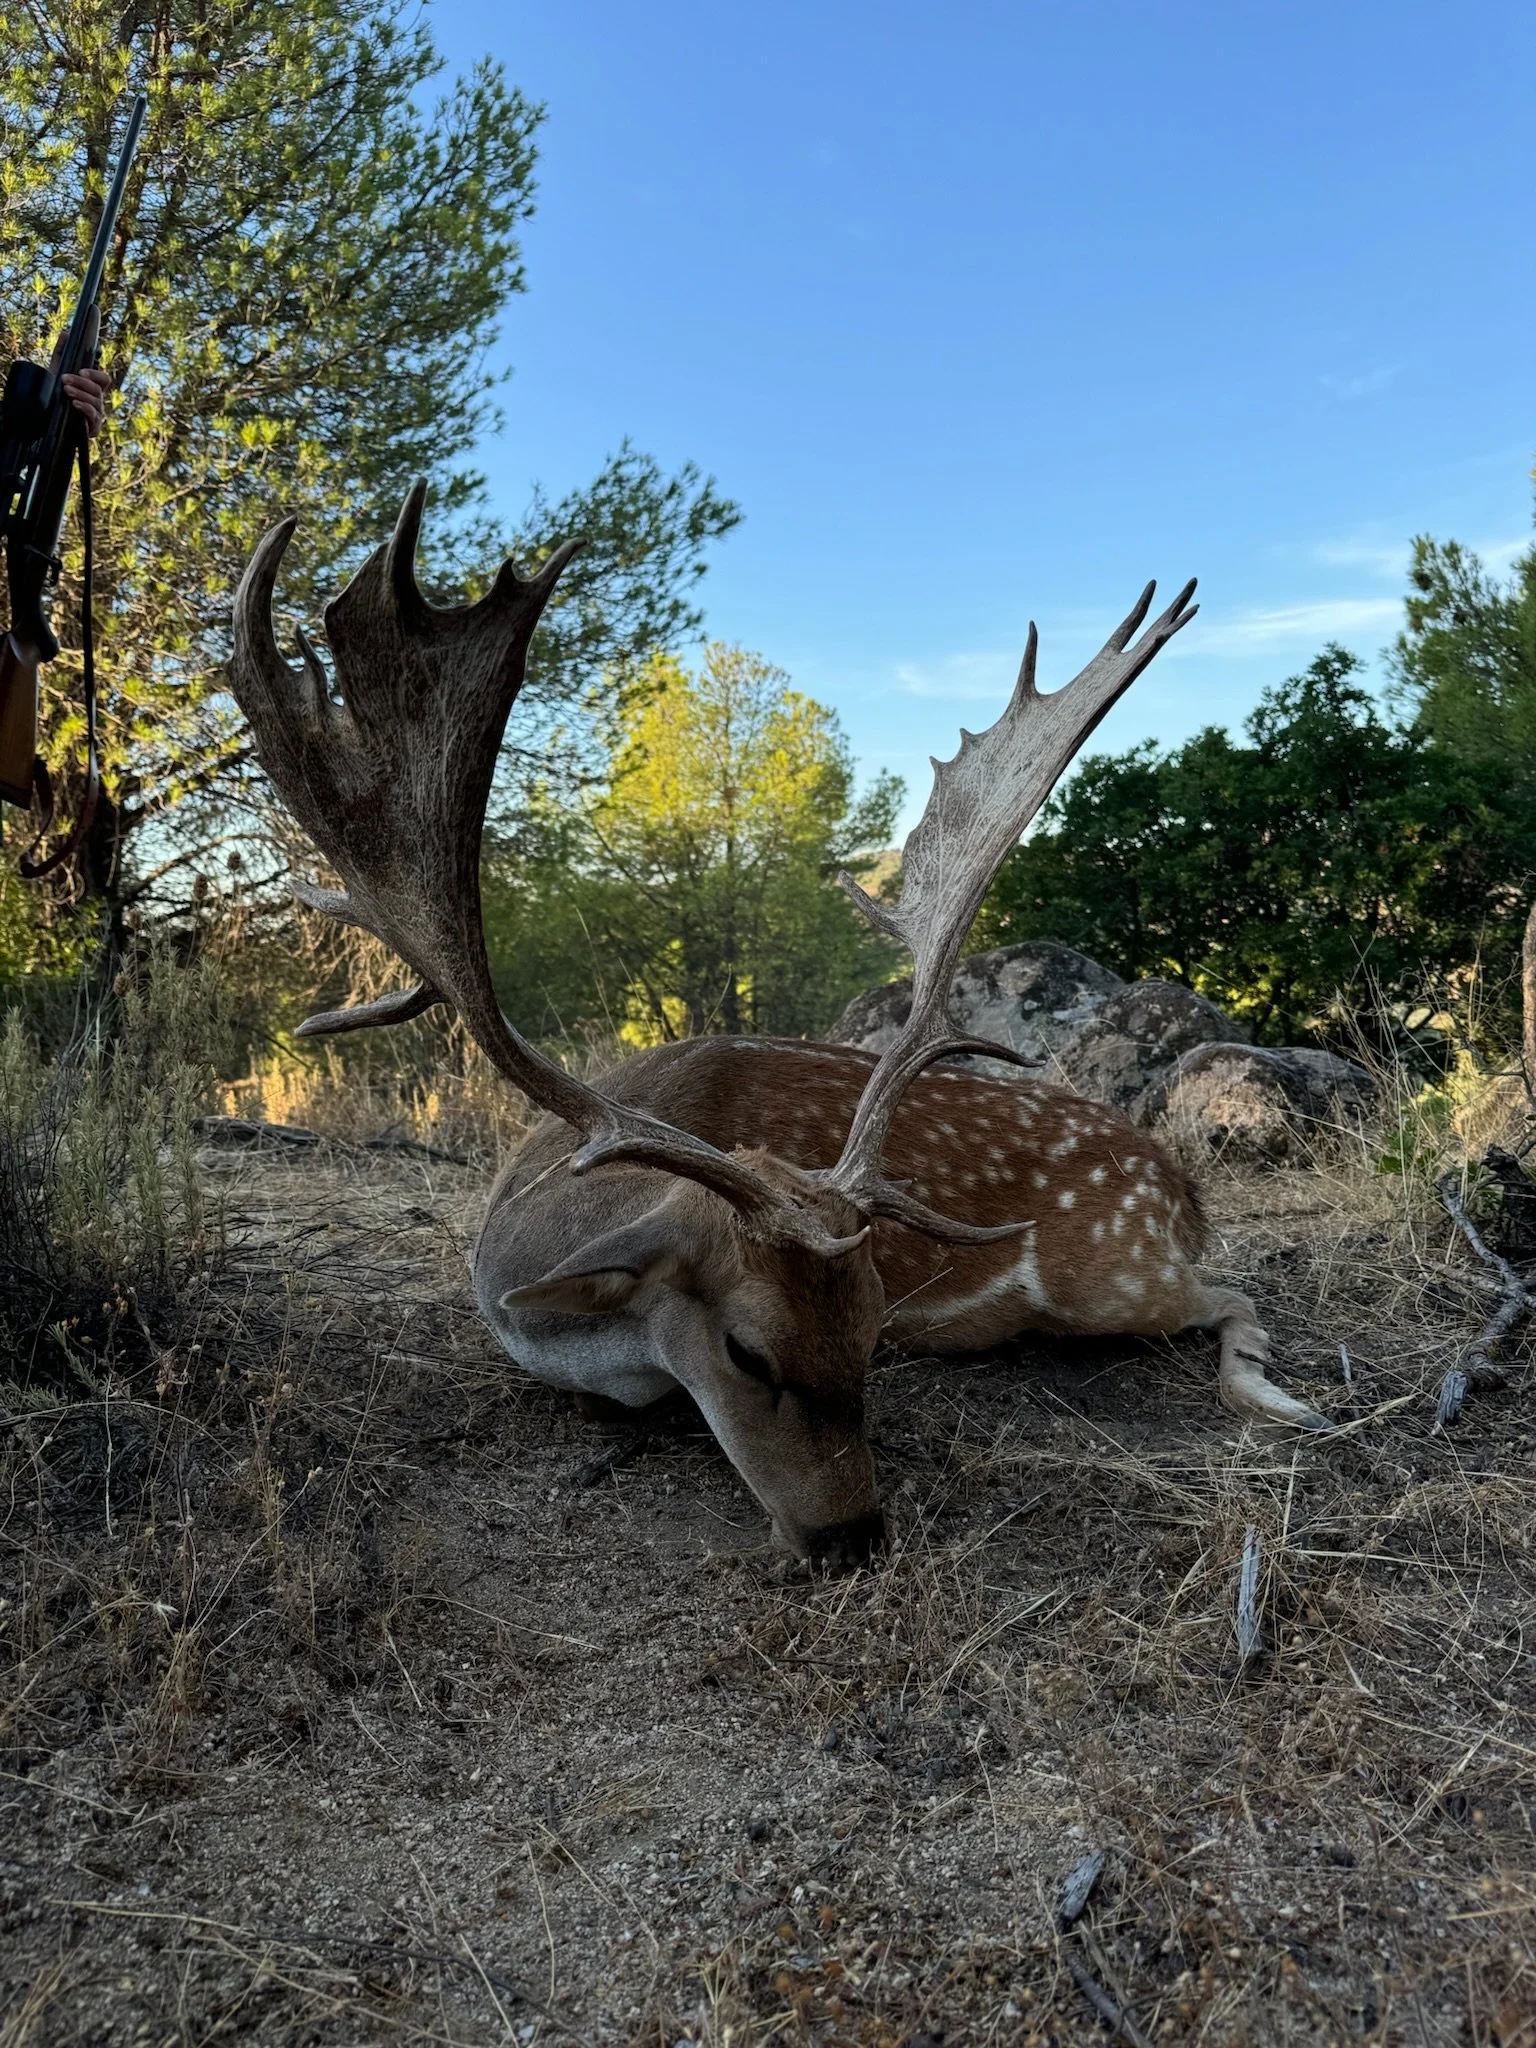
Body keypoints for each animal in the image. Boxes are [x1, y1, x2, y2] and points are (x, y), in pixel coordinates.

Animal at [229, 483, 1327, 1568]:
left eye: (879, 1324)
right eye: (745, 1349)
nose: (850, 1537)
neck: (525, 1268)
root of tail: (1177, 1184)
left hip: (1109, 1274)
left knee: (1232, 1291)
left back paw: (1280, 1399)